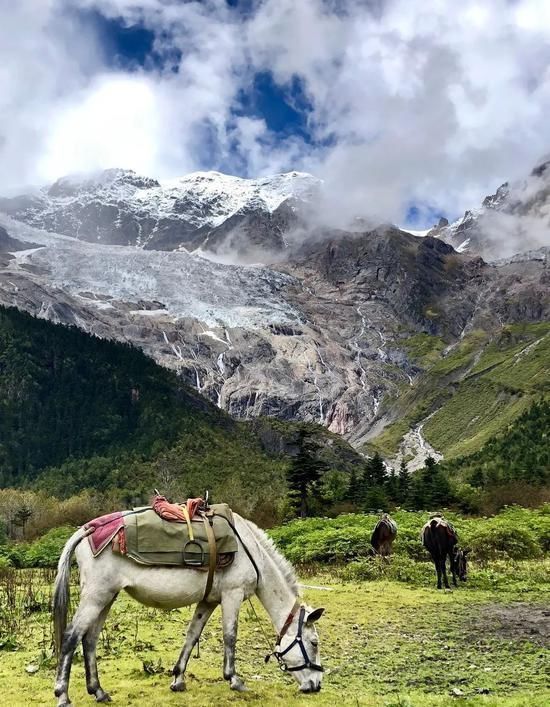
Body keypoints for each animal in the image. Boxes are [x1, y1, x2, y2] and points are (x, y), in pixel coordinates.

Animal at [51, 516, 326, 707]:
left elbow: (192, 635)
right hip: (96, 596)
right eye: (314, 643)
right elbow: (230, 636)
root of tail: (86, 531)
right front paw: (234, 680)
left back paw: (98, 691)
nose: (316, 685)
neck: (251, 550)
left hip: (106, 598)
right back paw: (62, 695)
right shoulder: (232, 595)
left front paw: (178, 679)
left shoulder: (208, 601)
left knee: (90, 639)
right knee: (71, 637)